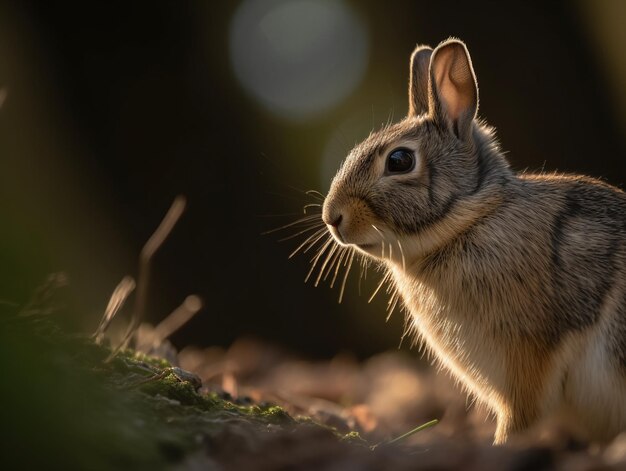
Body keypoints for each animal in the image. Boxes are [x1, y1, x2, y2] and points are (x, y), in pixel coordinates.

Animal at [320, 37, 624, 446]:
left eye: (399, 160)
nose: (332, 217)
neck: (468, 221)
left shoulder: (528, 358)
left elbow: (521, 417)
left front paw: (502, 446)